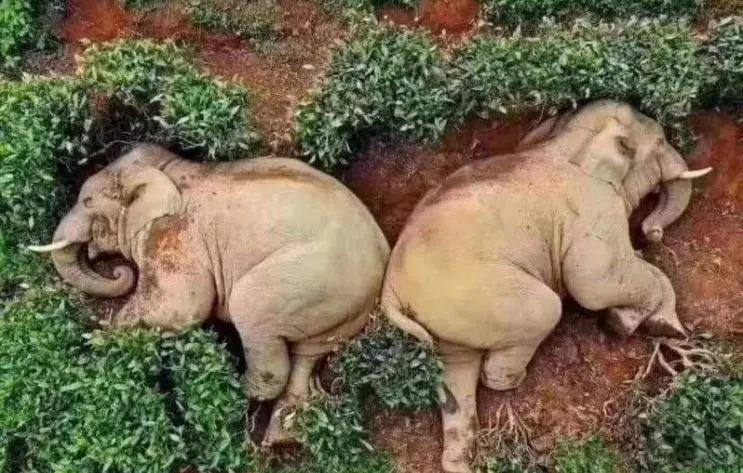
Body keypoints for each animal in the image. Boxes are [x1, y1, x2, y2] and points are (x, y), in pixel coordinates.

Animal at [29, 143, 391, 445]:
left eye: (87, 202)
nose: (120, 271)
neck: (168, 168)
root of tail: (382, 259)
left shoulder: (174, 237)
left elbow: (182, 307)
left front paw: (98, 340)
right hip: (338, 307)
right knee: (308, 354)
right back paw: (281, 435)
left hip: (309, 279)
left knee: (252, 313)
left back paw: (232, 393)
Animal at [379, 101, 712, 473]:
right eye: (660, 142)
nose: (651, 233)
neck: (565, 140)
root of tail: (390, 291)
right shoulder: (594, 209)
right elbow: (593, 282)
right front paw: (642, 324)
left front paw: (639, 320)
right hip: (479, 294)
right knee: (544, 311)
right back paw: (513, 381)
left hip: (445, 318)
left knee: (457, 370)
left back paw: (460, 461)